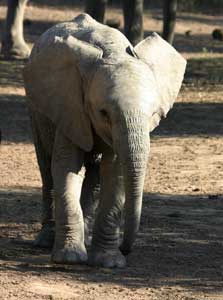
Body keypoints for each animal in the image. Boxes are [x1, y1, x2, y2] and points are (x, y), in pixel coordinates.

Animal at [23, 12, 186, 268]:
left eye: (153, 114)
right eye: (103, 113)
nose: (126, 249)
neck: (114, 51)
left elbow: (115, 171)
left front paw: (109, 262)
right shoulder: (70, 107)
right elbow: (66, 166)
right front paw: (69, 258)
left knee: (94, 174)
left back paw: (87, 239)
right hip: (36, 108)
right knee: (47, 169)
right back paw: (46, 241)